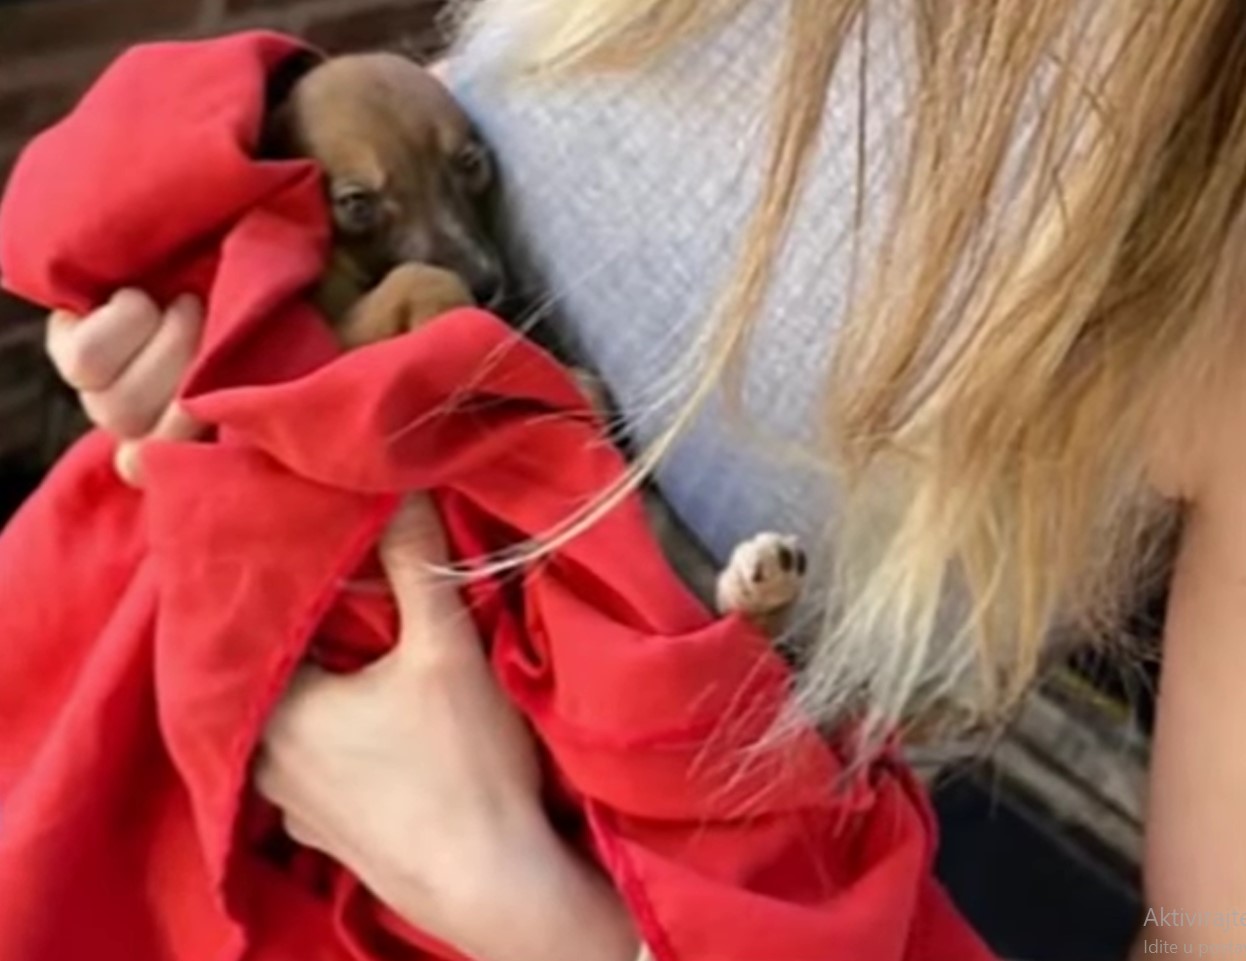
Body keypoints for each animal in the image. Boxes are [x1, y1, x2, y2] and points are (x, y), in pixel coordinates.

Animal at [266, 56, 802, 635]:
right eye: (355, 202)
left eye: (469, 162)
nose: (487, 284)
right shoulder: (326, 335)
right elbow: (420, 279)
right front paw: (457, 331)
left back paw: (761, 584)